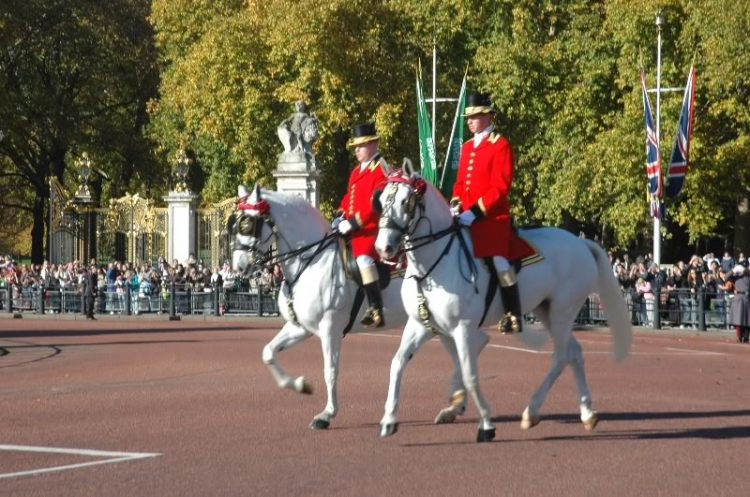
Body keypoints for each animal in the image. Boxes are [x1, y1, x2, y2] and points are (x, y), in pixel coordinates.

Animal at [232, 186, 484, 430]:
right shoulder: (300, 328)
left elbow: (330, 370)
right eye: (234, 225)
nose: (239, 267)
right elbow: (268, 353)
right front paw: (301, 385)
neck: (312, 260)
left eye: (247, 223)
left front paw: (327, 414)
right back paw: (456, 405)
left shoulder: (330, 328)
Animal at [376, 171, 636, 442]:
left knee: (561, 356)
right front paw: (389, 419)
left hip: (563, 311)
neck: (431, 266)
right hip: (547, 311)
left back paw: (532, 411)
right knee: (574, 352)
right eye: (381, 201)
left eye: (406, 201)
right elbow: (398, 363)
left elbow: (470, 374)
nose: (383, 248)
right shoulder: (421, 324)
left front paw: (486, 423)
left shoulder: (463, 327)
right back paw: (586, 412)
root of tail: (581, 243)